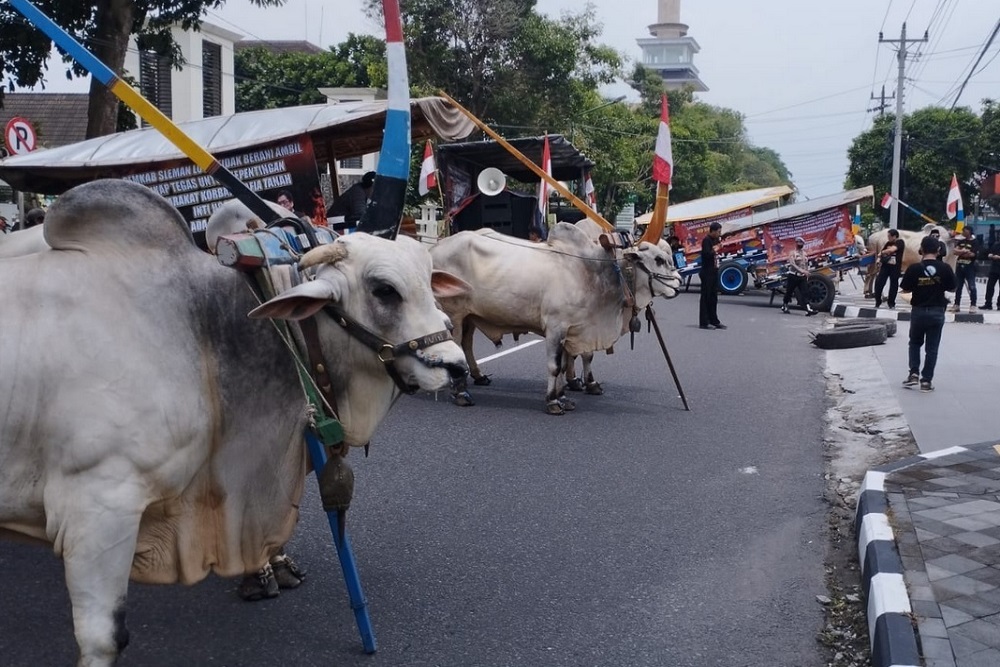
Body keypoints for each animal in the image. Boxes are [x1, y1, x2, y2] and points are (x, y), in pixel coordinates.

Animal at [0, 180, 470, 664]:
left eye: (429, 281)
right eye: (384, 290)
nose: (456, 368)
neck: (201, 331)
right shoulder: (97, 504)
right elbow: (103, 636)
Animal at [430, 222, 680, 414]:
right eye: (659, 259)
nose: (678, 284)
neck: (592, 271)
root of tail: (437, 246)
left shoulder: (572, 330)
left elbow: (566, 364)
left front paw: (564, 396)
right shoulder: (555, 328)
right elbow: (555, 365)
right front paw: (553, 401)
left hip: (470, 316)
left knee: (466, 345)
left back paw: (477, 377)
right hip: (454, 313)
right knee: (456, 346)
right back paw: (461, 393)